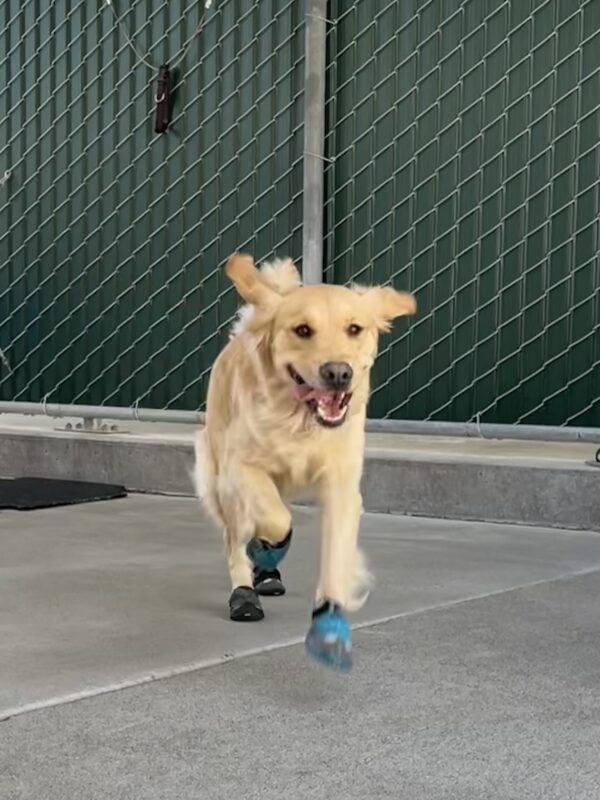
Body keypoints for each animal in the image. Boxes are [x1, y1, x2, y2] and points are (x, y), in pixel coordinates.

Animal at [195, 255, 414, 668]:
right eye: (302, 330)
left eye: (354, 328)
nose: (338, 372)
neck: (300, 420)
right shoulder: (240, 470)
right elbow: (276, 519)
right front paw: (267, 547)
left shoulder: (342, 486)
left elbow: (335, 552)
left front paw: (330, 623)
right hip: (219, 480)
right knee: (235, 538)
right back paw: (246, 590)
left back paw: (267, 574)